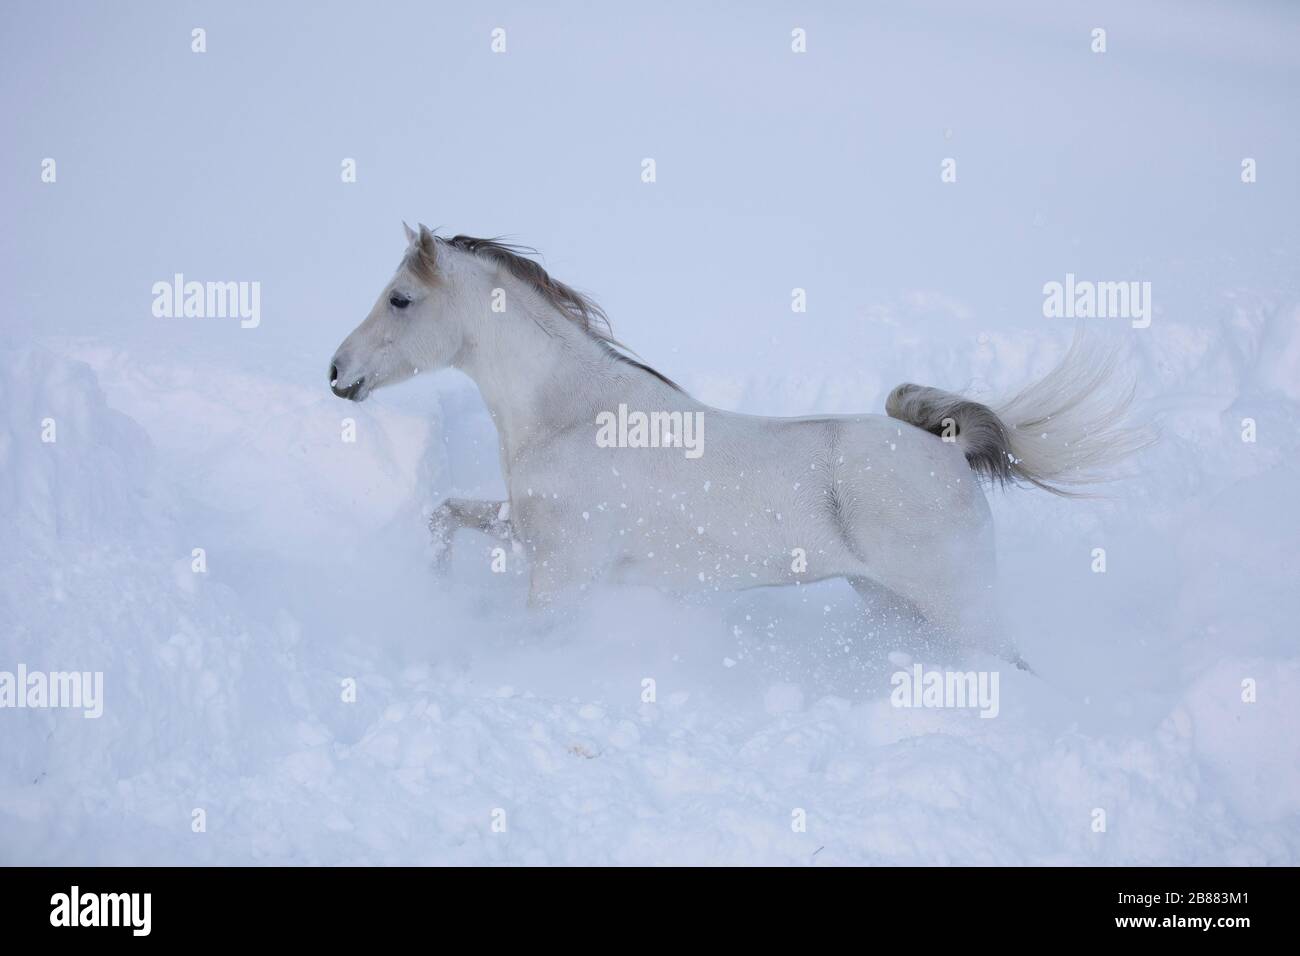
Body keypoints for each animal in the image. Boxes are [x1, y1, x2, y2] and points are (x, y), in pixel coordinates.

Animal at [327, 226, 1149, 665]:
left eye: (400, 299)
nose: (338, 373)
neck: (574, 414)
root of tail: (943, 448)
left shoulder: (562, 578)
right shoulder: (523, 532)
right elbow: (442, 515)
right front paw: (432, 585)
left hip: (956, 607)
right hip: (893, 606)